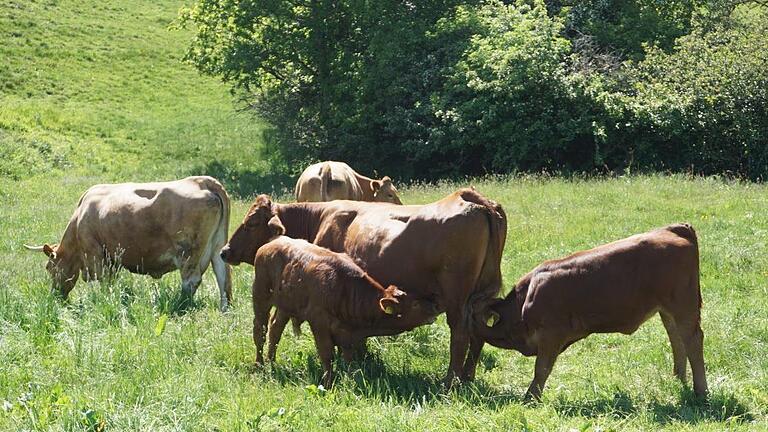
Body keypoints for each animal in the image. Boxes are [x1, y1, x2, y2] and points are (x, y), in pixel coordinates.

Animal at [25, 176, 232, 310]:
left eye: (49, 268)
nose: (55, 296)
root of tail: (203, 181)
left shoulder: (94, 255)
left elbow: (100, 282)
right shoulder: (112, 259)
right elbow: (110, 282)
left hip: (188, 253)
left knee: (191, 281)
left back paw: (179, 305)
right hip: (218, 247)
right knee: (224, 276)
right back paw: (225, 310)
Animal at [250, 231, 436, 386]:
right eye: (415, 304)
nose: (434, 308)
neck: (344, 289)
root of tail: (273, 242)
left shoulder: (346, 333)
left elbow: (348, 358)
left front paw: (353, 379)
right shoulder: (319, 322)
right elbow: (327, 354)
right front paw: (328, 383)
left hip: (286, 305)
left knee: (275, 329)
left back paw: (272, 361)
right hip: (261, 296)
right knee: (260, 330)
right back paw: (259, 364)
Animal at [472, 224, 712, 400]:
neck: (526, 299)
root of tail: (673, 229)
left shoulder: (551, 335)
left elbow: (541, 368)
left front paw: (530, 397)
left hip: (683, 306)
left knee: (692, 340)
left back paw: (701, 391)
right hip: (668, 311)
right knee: (676, 339)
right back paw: (678, 378)